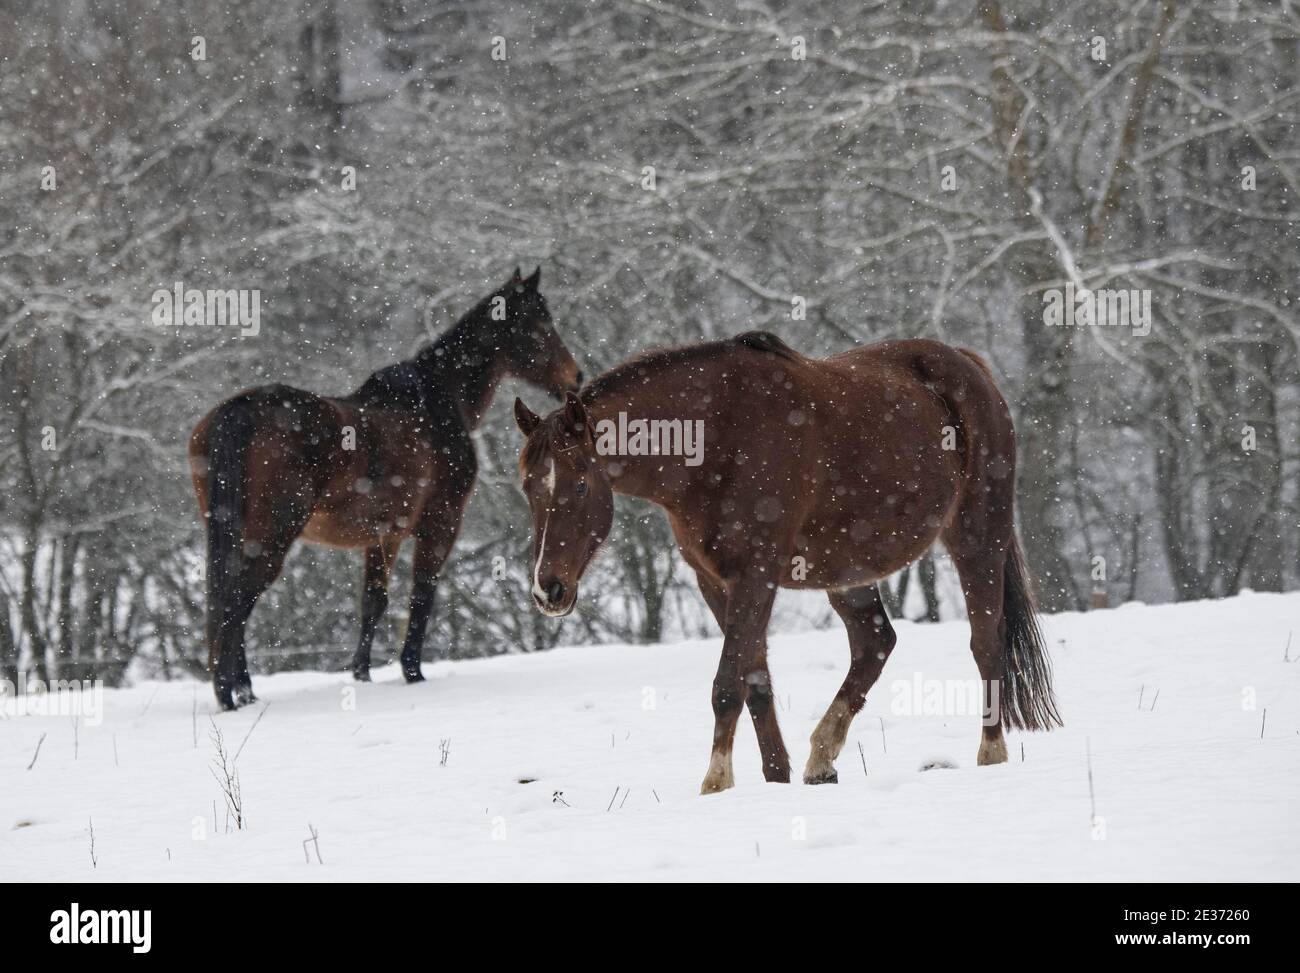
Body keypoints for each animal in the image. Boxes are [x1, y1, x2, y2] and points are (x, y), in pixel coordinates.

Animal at [190, 267, 581, 710]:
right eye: (540, 323)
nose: (575, 378)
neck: (438, 402)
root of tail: (237, 412)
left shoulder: (385, 535)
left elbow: (373, 602)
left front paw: (361, 675)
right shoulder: (440, 524)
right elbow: (422, 594)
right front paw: (413, 672)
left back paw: (244, 692)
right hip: (272, 535)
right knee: (235, 601)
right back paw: (228, 695)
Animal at [513, 331, 1061, 794]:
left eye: (578, 485)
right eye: (527, 488)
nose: (548, 590)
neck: (719, 438)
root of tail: (967, 366)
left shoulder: (756, 575)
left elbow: (726, 684)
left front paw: (715, 784)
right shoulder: (716, 582)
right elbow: (754, 683)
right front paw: (775, 778)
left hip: (976, 537)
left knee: (984, 642)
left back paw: (990, 755)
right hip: (848, 571)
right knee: (875, 644)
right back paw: (821, 759)